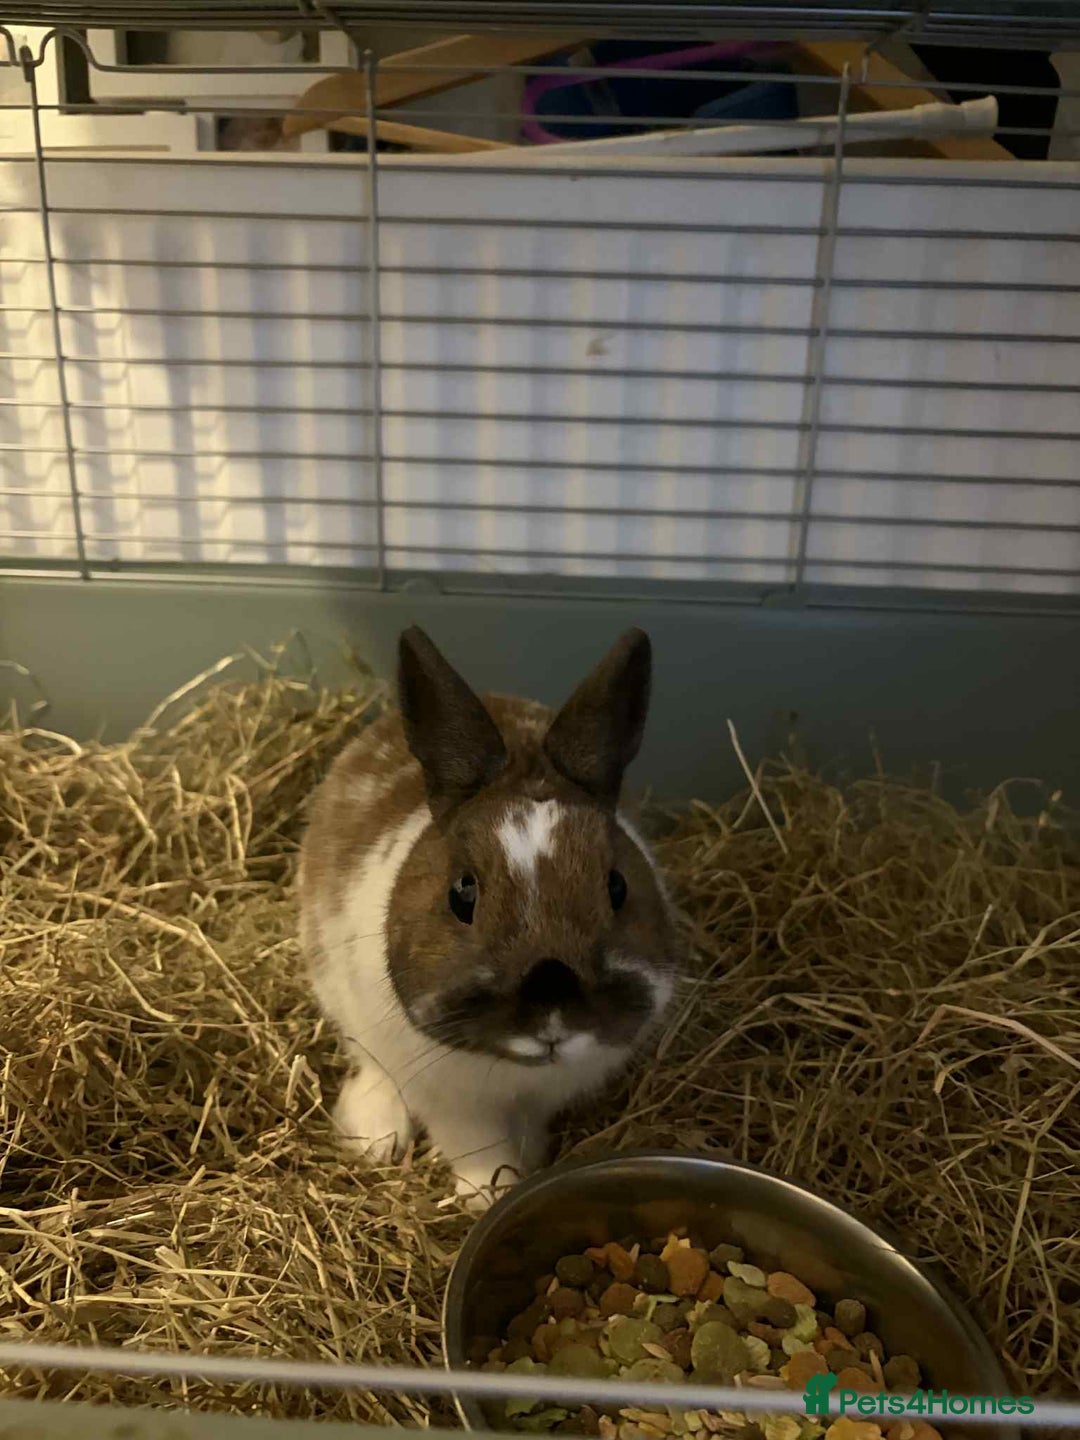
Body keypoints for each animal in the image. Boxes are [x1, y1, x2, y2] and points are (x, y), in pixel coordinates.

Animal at [298, 625, 681, 1203]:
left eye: (617, 886)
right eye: (463, 894)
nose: (552, 1015)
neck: (519, 1073)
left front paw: (530, 1165)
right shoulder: (449, 1102)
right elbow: (475, 1149)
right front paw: (488, 1195)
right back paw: (373, 1135)